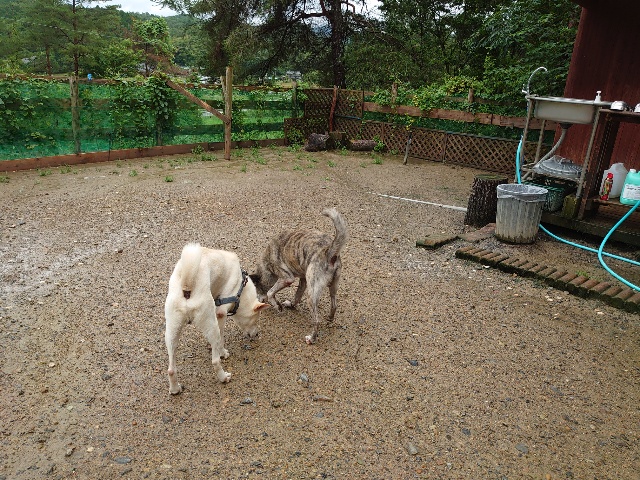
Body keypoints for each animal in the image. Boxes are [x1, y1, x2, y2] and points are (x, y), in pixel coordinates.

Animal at [164, 243, 269, 395]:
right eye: (256, 319)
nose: (256, 334)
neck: (241, 289)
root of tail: (187, 287)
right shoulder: (221, 312)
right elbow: (221, 339)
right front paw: (223, 352)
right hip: (210, 323)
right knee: (214, 361)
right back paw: (223, 377)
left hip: (172, 331)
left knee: (171, 369)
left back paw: (174, 389)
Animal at [250, 208, 347, 344]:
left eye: (256, 291)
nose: (257, 304)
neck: (266, 263)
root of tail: (329, 252)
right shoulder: (303, 280)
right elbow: (297, 297)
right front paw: (290, 305)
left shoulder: (286, 279)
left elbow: (270, 292)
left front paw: (277, 306)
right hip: (333, 287)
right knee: (334, 305)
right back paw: (330, 319)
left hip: (311, 294)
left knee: (317, 320)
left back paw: (311, 338)